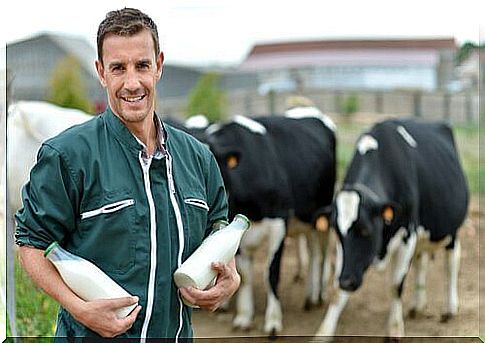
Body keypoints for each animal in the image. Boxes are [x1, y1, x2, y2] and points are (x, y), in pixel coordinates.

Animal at [205, 107, 336, 336]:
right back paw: (309, 297)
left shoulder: (279, 222)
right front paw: (244, 317)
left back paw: (318, 295)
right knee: (312, 250)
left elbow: (272, 272)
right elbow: (246, 274)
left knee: (321, 253)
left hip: (323, 214)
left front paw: (273, 321)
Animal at [316, 118, 466, 338]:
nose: (347, 282)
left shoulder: (407, 236)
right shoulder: (345, 253)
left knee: (452, 262)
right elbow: (337, 292)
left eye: (365, 230)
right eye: (337, 232)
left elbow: (396, 285)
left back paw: (450, 308)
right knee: (421, 261)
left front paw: (395, 330)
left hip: (451, 229)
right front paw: (323, 333)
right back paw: (417, 306)